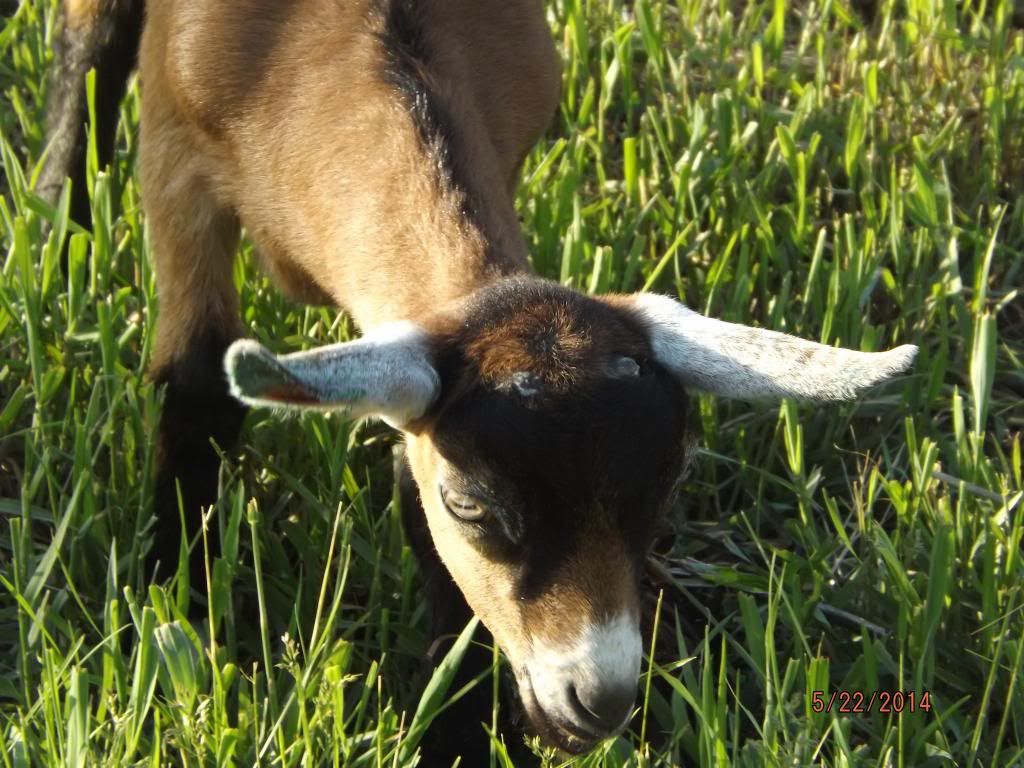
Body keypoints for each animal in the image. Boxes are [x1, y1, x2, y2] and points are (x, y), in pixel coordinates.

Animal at [42, 0, 917, 760]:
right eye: (470, 504)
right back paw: (58, 217)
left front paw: (461, 730)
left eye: (669, 485)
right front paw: (171, 601)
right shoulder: (177, 159)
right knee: (90, 34)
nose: (596, 702)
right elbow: (197, 382)